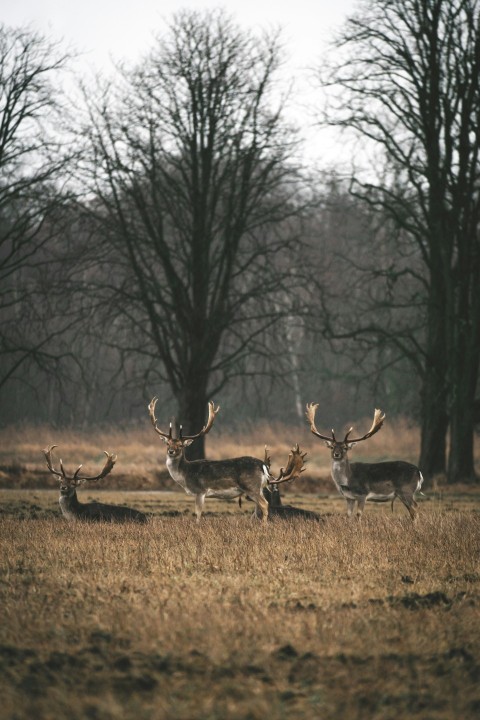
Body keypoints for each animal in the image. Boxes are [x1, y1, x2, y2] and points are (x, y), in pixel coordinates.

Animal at [148, 396, 306, 524]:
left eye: (180, 445)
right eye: (167, 443)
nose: (171, 451)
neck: (185, 475)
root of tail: (263, 465)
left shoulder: (200, 490)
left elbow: (198, 514)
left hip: (251, 486)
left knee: (265, 504)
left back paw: (264, 525)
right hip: (259, 488)